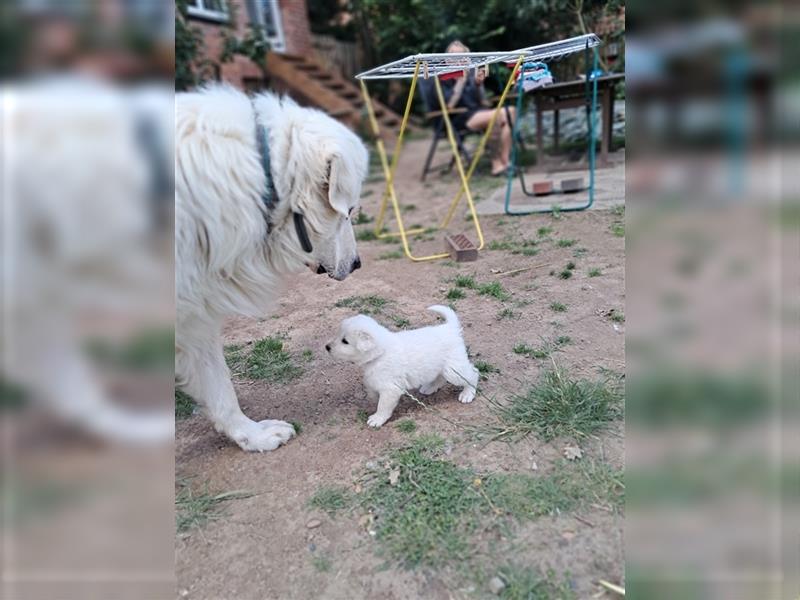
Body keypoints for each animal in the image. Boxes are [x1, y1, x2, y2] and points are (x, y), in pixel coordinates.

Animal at [328, 304, 478, 426]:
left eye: (345, 341)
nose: (327, 347)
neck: (381, 352)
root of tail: (450, 328)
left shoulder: (390, 389)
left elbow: (383, 405)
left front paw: (377, 419)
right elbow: (374, 394)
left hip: (454, 369)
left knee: (473, 374)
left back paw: (467, 394)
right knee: (441, 377)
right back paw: (429, 387)